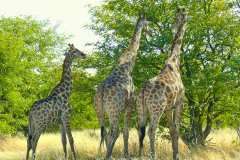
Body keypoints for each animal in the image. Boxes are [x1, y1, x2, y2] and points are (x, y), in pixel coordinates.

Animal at [94, 14, 147, 159]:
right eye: (147, 23)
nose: (149, 31)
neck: (127, 65)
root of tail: (101, 92)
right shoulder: (129, 105)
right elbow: (126, 131)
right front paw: (127, 154)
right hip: (114, 111)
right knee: (113, 131)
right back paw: (108, 155)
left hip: (99, 110)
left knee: (104, 131)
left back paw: (107, 154)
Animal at [137, 8, 188, 160]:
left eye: (176, 17)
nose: (173, 27)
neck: (175, 61)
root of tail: (143, 90)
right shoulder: (179, 102)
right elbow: (177, 129)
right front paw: (176, 156)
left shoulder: (168, 108)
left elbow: (171, 129)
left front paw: (175, 154)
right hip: (156, 108)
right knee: (152, 130)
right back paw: (153, 156)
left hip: (141, 108)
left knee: (140, 130)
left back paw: (139, 155)